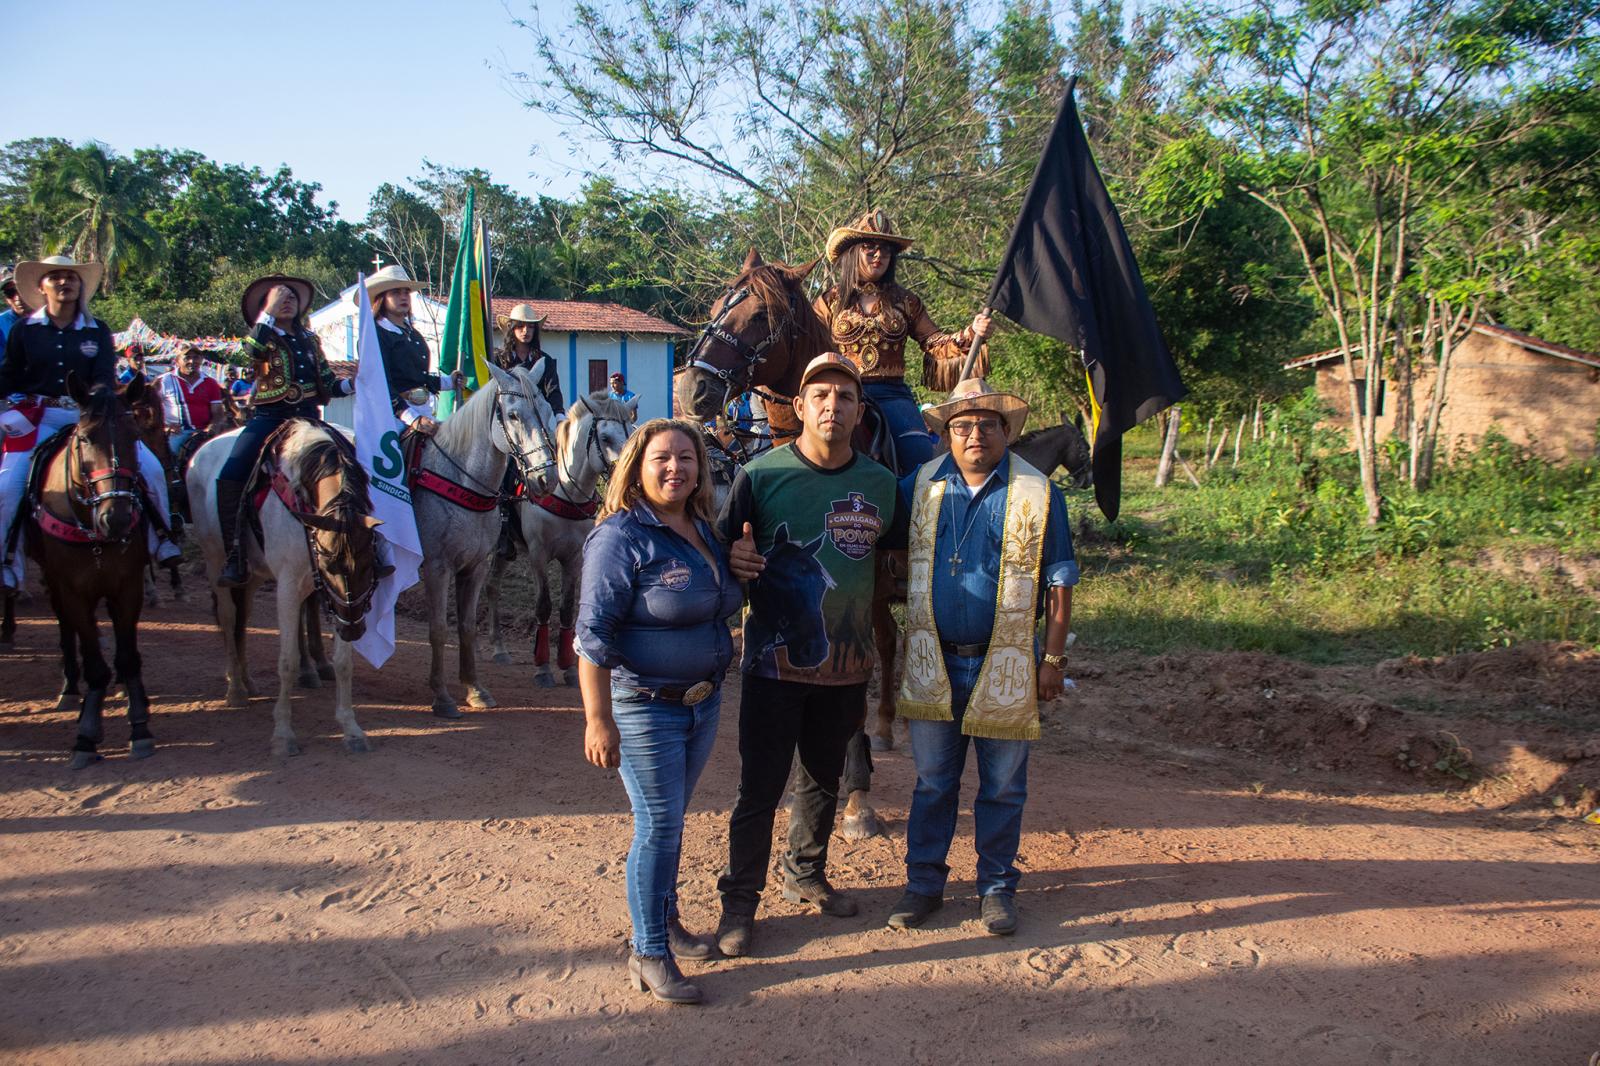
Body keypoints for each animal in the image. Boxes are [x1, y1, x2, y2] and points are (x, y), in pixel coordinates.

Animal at [24, 372, 156, 765]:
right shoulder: (72, 589)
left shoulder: (128, 585)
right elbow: (94, 659)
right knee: (67, 628)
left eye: (134, 436)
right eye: (84, 439)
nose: (117, 516)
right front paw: (86, 735)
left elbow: (127, 657)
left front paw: (139, 726)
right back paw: (70, 685)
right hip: (54, 581)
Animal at [184, 416, 384, 755]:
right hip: (215, 560)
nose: (354, 631)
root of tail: (201, 450)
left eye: (369, 564)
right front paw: (283, 734)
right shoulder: (290, 586)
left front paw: (351, 728)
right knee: (228, 616)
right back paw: (236, 688)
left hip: (253, 575)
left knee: (243, 616)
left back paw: (247, 680)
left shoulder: (343, 603)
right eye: (329, 566)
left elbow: (344, 663)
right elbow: (287, 661)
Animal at [409, 361, 560, 717]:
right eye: (514, 415)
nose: (546, 479)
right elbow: (438, 628)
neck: (460, 478)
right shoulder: (437, 566)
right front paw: (442, 696)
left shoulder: (475, 566)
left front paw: (475, 689)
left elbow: (466, 626)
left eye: (547, 410)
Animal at [483, 388, 633, 681]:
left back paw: (498, 648)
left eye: (631, 431)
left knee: (492, 586)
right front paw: (542, 667)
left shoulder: (574, 558)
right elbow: (544, 605)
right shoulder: (538, 555)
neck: (565, 491)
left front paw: (568, 667)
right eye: (606, 438)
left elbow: (566, 609)